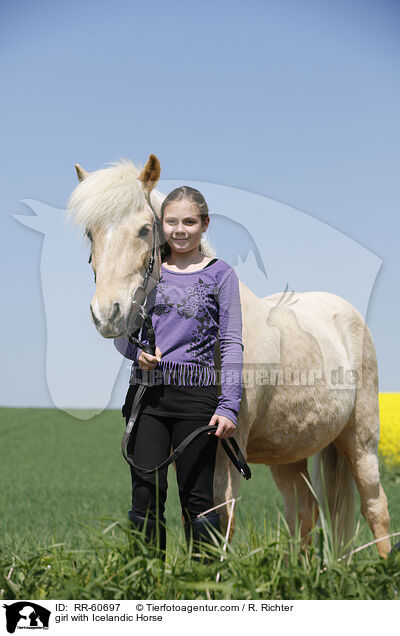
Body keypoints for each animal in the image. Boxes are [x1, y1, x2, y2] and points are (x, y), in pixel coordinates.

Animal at [65, 154, 390, 556]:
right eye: (89, 232)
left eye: (143, 229)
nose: (108, 314)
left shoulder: (222, 449)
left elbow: (220, 521)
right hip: (289, 453)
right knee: (304, 513)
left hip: (360, 441)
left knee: (375, 507)